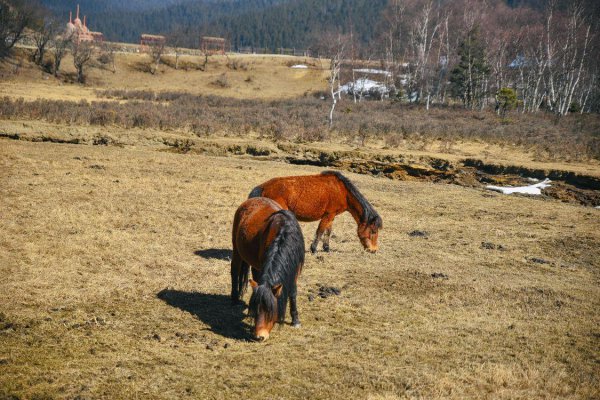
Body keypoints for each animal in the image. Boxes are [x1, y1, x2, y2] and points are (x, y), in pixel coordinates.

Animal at [230, 197, 304, 340]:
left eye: (271, 310)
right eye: (258, 310)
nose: (259, 336)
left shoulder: (295, 271)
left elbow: (293, 292)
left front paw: (295, 320)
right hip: (236, 249)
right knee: (235, 270)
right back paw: (235, 299)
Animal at [250, 171, 384, 253]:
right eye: (373, 231)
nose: (373, 250)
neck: (342, 191)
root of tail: (264, 186)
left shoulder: (332, 216)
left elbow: (328, 231)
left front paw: (326, 248)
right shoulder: (328, 214)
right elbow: (320, 231)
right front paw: (314, 249)